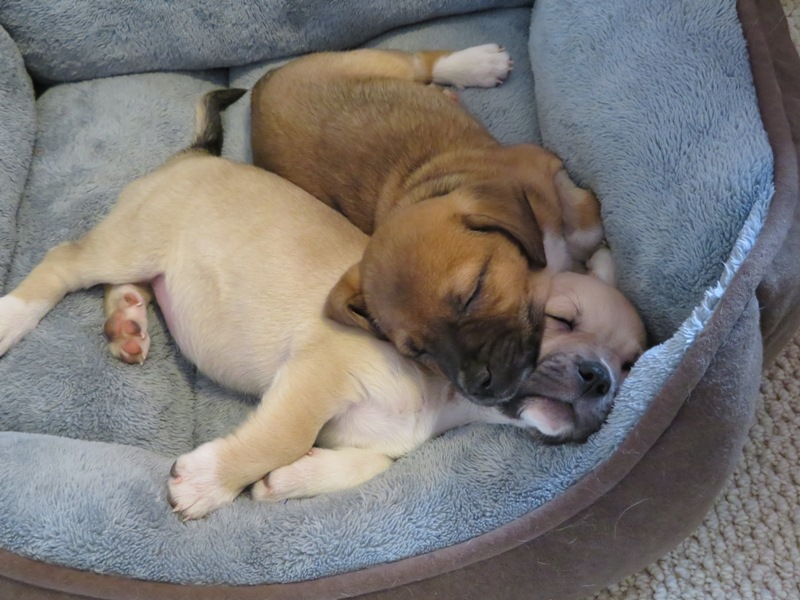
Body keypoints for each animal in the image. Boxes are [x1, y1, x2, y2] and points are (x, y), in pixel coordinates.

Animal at [0, 89, 648, 520]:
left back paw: (129, 319)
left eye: (631, 362)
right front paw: (208, 483)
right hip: (128, 242)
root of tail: (194, 156)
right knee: (62, 262)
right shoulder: (318, 376)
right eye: (560, 319)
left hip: (140, 260)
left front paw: (287, 481)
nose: (601, 380)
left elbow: (363, 463)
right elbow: (281, 436)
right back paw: (14, 317)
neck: (439, 400)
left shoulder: (364, 435)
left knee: (128, 283)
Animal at [253, 44, 604, 406]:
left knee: (425, 61)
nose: (477, 386)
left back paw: (480, 64)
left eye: (474, 292)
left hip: (379, 62)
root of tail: (258, 91)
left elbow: (584, 223)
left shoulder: (546, 166)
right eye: (418, 351)